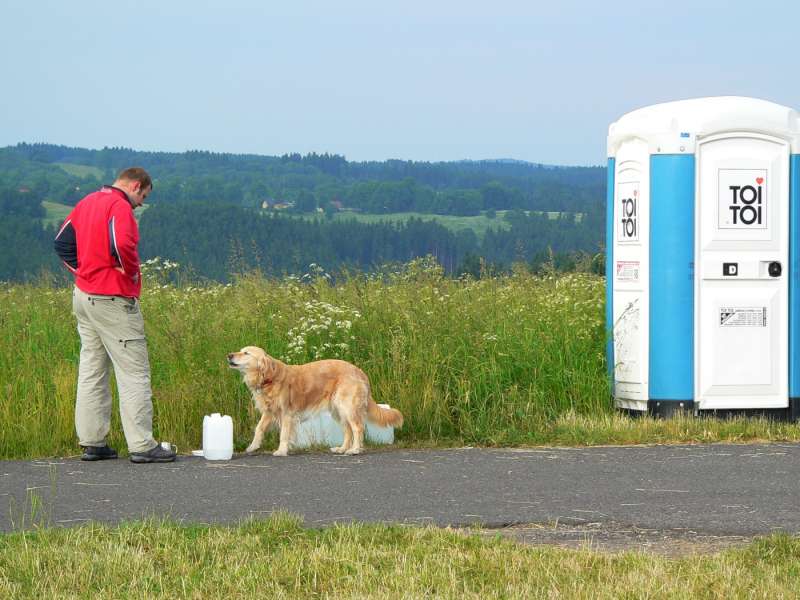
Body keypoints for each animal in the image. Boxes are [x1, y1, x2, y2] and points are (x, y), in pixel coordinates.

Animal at [227, 346, 403, 456]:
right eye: (241, 351)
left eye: (246, 353)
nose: (229, 355)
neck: (269, 378)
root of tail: (360, 371)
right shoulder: (269, 411)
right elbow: (259, 429)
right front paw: (252, 447)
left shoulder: (287, 413)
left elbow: (283, 434)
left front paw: (281, 451)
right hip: (338, 411)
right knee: (348, 430)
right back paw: (341, 449)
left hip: (348, 407)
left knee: (358, 428)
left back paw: (354, 450)